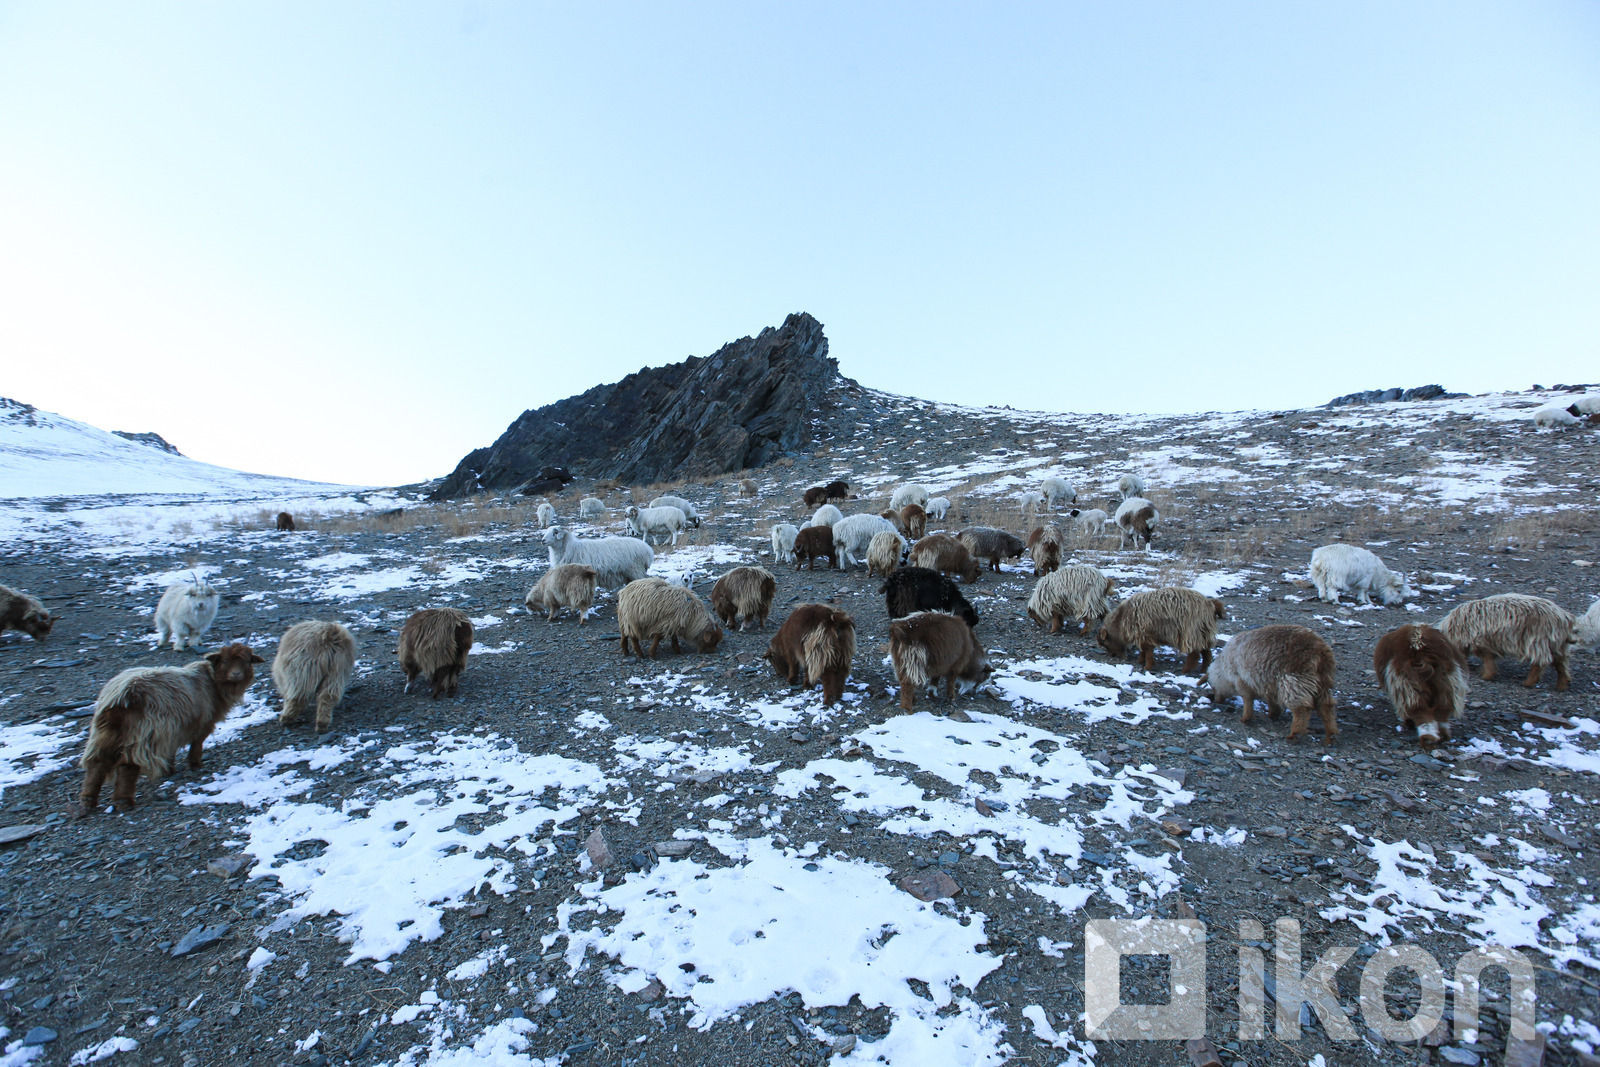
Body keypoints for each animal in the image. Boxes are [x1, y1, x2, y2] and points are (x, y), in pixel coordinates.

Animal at [75, 643, 260, 819]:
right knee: (128, 766)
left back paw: (87, 800)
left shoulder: (172, 730)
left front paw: (169, 770)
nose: (236, 674)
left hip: (105, 733)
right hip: (142, 732)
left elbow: (171, 750)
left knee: (97, 764)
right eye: (225, 660)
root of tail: (121, 696)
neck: (212, 682)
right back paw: (123, 801)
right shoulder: (200, 723)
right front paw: (195, 764)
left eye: (247, 661)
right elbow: (197, 744)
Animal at [1209, 620, 1337, 748]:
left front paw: (1246, 718)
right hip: (1322, 681)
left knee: (1301, 708)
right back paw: (1330, 735)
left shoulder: (1241, 679)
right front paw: (1272, 713)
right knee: (1326, 706)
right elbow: (1271, 700)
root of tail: (1320, 652)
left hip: (1294, 680)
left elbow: (1247, 698)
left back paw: (1295, 733)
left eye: (1213, 687)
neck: (1224, 669)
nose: (1216, 700)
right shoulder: (1268, 683)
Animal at [1369, 620, 1465, 748]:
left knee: (1418, 709)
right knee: (1442, 709)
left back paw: (1427, 737)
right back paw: (1442, 735)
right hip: (1447, 681)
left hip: (1406, 682)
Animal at [1440, 591, 1574, 694]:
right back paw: (1562, 684)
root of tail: (1563, 617)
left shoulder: (1481, 640)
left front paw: (1487, 675)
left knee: (1540, 661)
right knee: (1561, 662)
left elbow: (1487, 658)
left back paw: (1529, 682)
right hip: (1556, 643)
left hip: (1537, 639)